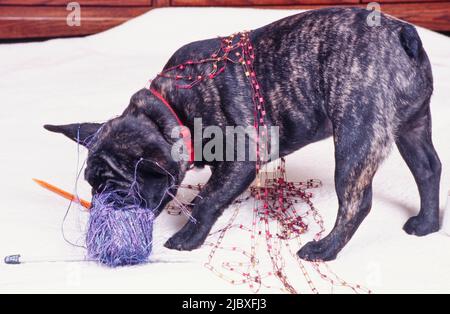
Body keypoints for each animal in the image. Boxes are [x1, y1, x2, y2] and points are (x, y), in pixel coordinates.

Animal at [44, 7, 442, 262]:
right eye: (93, 187)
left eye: (121, 191)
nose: (101, 210)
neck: (168, 111)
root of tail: (402, 33)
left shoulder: (240, 159)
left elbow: (208, 199)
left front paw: (187, 238)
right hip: (412, 124)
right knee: (428, 168)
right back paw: (427, 224)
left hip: (355, 135)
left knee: (357, 200)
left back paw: (323, 250)